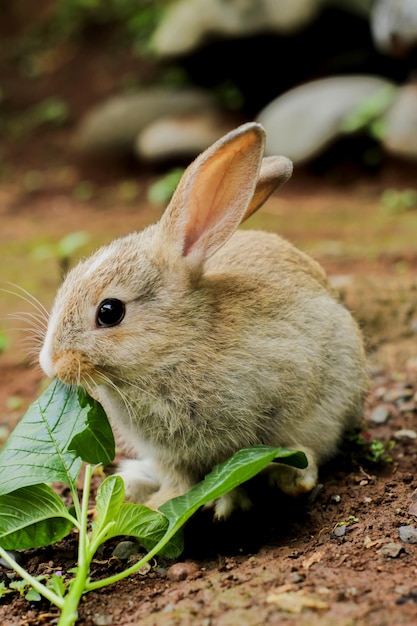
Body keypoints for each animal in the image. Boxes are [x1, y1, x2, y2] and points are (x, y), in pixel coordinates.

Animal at [38, 120, 364, 516]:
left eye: (109, 312)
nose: (51, 363)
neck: (176, 348)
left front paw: (238, 498)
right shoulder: (167, 455)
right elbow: (178, 479)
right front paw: (159, 503)